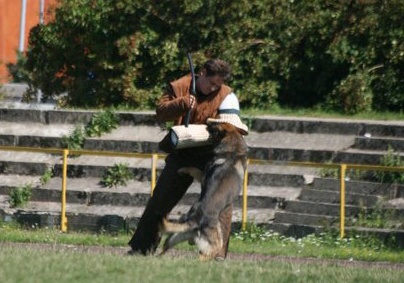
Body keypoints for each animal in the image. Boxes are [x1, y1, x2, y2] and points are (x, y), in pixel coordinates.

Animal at [159, 123, 248, 260]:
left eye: (215, 126)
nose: (208, 124)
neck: (233, 149)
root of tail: (195, 220)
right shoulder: (203, 176)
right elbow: (193, 169)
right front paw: (183, 169)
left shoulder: (203, 176)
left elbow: (192, 169)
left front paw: (182, 169)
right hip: (210, 242)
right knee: (202, 256)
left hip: (176, 237)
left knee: (167, 249)